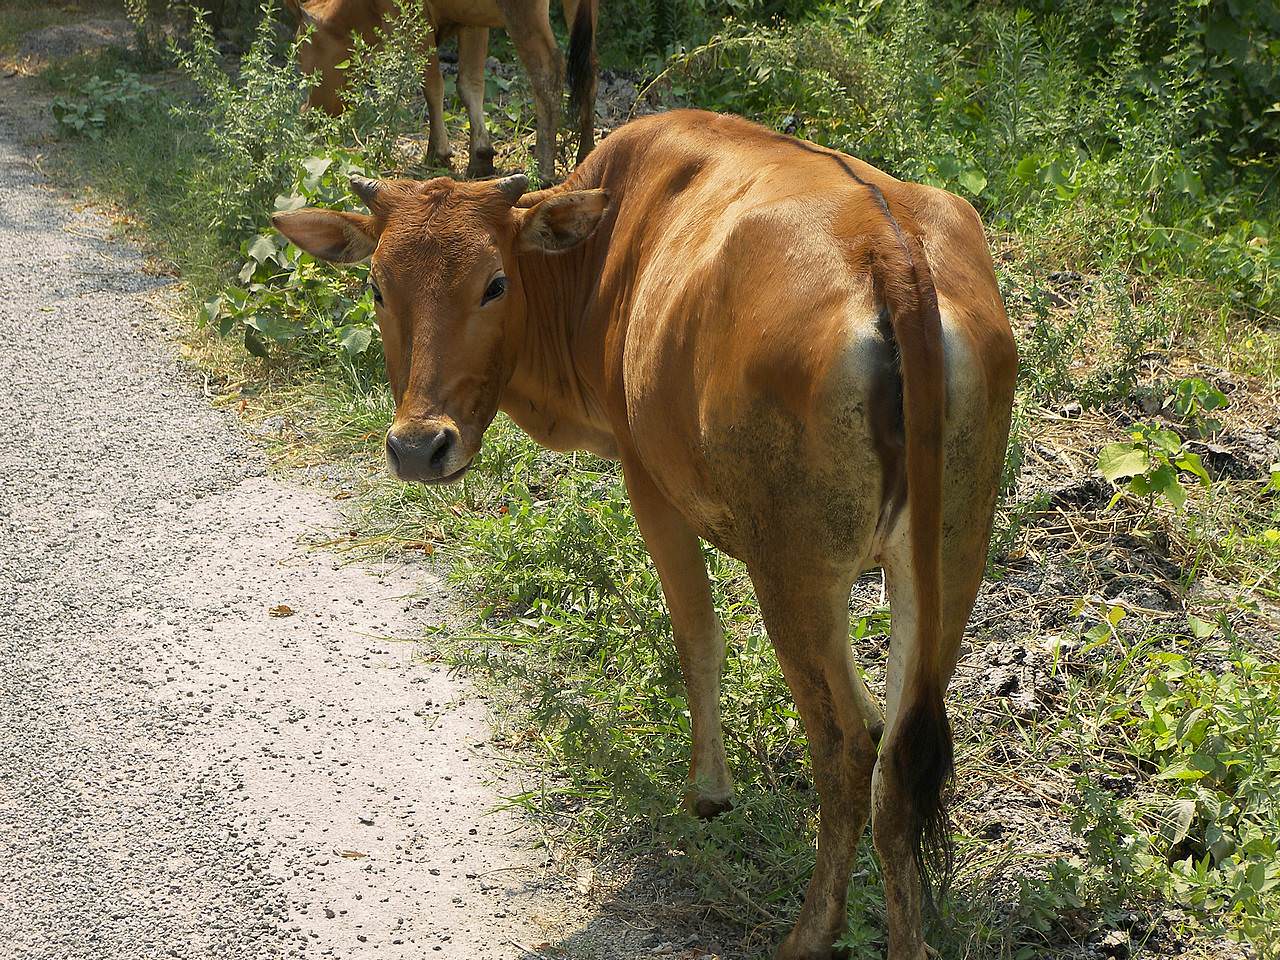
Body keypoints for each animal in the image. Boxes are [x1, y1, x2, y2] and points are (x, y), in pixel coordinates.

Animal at [272, 108, 1018, 957]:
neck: (600, 257)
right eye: (377, 285)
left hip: (792, 566)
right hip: (952, 554)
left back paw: (807, 933)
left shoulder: (646, 479)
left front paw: (709, 793)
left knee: (845, 753)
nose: (418, 446)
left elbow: (697, 635)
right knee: (899, 760)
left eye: (494, 283)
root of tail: (890, 254)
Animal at [282, 0, 596, 183]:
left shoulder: (412, 18)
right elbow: (469, 84)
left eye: (300, 52)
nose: (306, 114)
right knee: (588, 68)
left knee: (548, 70)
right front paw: (480, 157)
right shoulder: (472, 21)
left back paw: (543, 169)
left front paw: (439, 154)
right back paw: (587, 153)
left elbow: (431, 83)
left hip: (522, 11)